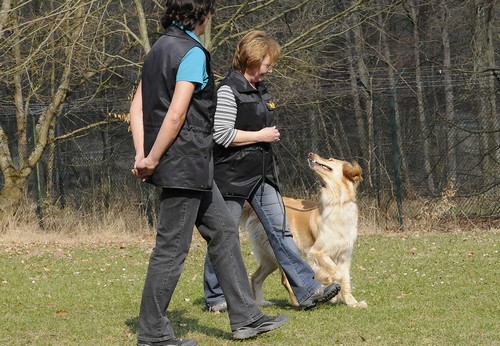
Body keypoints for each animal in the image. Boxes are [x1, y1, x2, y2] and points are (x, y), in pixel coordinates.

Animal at [241, 151, 368, 308]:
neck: (337, 203)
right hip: (280, 251)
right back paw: (299, 302)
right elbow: (336, 272)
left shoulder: (344, 255)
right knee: (285, 280)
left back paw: (260, 302)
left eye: (330, 159)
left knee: (255, 277)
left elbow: (345, 278)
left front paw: (352, 302)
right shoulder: (317, 252)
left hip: (269, 259)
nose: (311, 154)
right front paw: (329, 286)